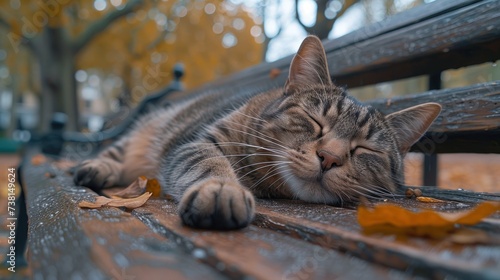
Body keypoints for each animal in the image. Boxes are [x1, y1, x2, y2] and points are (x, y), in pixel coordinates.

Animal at [74, 36, 442, 230]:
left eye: (365, 149)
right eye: (315, 121)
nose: (329, 158)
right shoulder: (198, 142)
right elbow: (207, 163)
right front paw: (222, 189)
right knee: (115, 154)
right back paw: (97, 167)